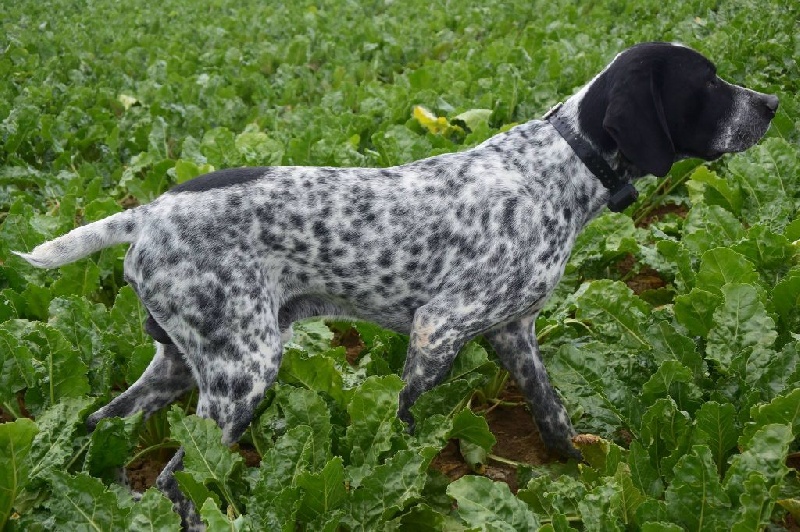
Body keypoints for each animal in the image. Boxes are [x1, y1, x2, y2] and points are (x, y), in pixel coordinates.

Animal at [15, 42, 780, 524]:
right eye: (708, 83)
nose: (773, 102)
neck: (561, 169)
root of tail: (150, 210)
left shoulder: (513, 332)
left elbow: (553, 412)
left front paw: (584, 470)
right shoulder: (439, 328)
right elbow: (408, 428)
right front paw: (417, 489)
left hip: (180, 363)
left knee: (104, 428)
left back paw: (112, 499)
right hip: (243, 372)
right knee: (179, 474)